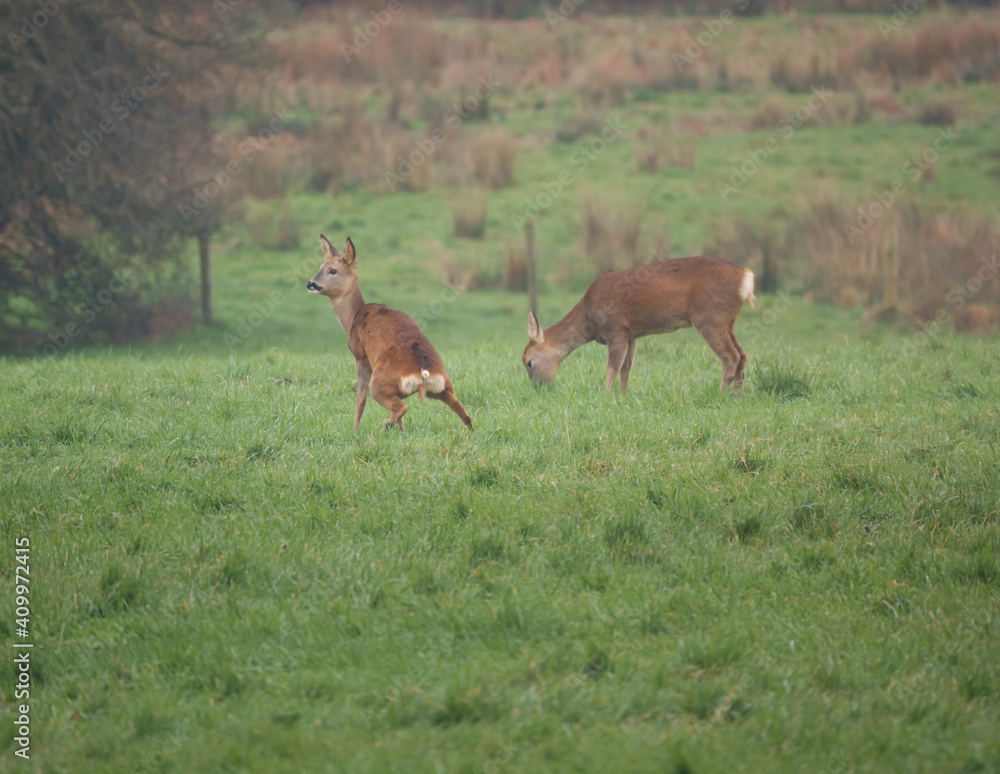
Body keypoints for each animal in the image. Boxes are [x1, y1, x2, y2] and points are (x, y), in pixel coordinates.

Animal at [307, 236, 473, 431]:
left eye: (332, 270)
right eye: (320, 267)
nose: (311, 284)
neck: (354, 317)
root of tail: (423, 372)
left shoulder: (361, 357)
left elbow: (360, 400)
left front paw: (354, 429)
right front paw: (401, 432)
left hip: (380, 383)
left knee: (400, 407)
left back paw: (380, 431)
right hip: (443, 387)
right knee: (463, 411)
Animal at [523, 256, 755, 394]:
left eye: (528, 362)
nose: (537, 387)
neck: (589, 318)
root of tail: (747, 277)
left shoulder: (616, 329)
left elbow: (612, 368)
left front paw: (607, 396)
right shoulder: (631, 334)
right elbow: (626, 368)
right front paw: (624, 396)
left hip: (709, 316)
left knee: (730, 356)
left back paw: (721, 394)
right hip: (728, 321)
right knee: (742, 354)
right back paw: (737, 395)